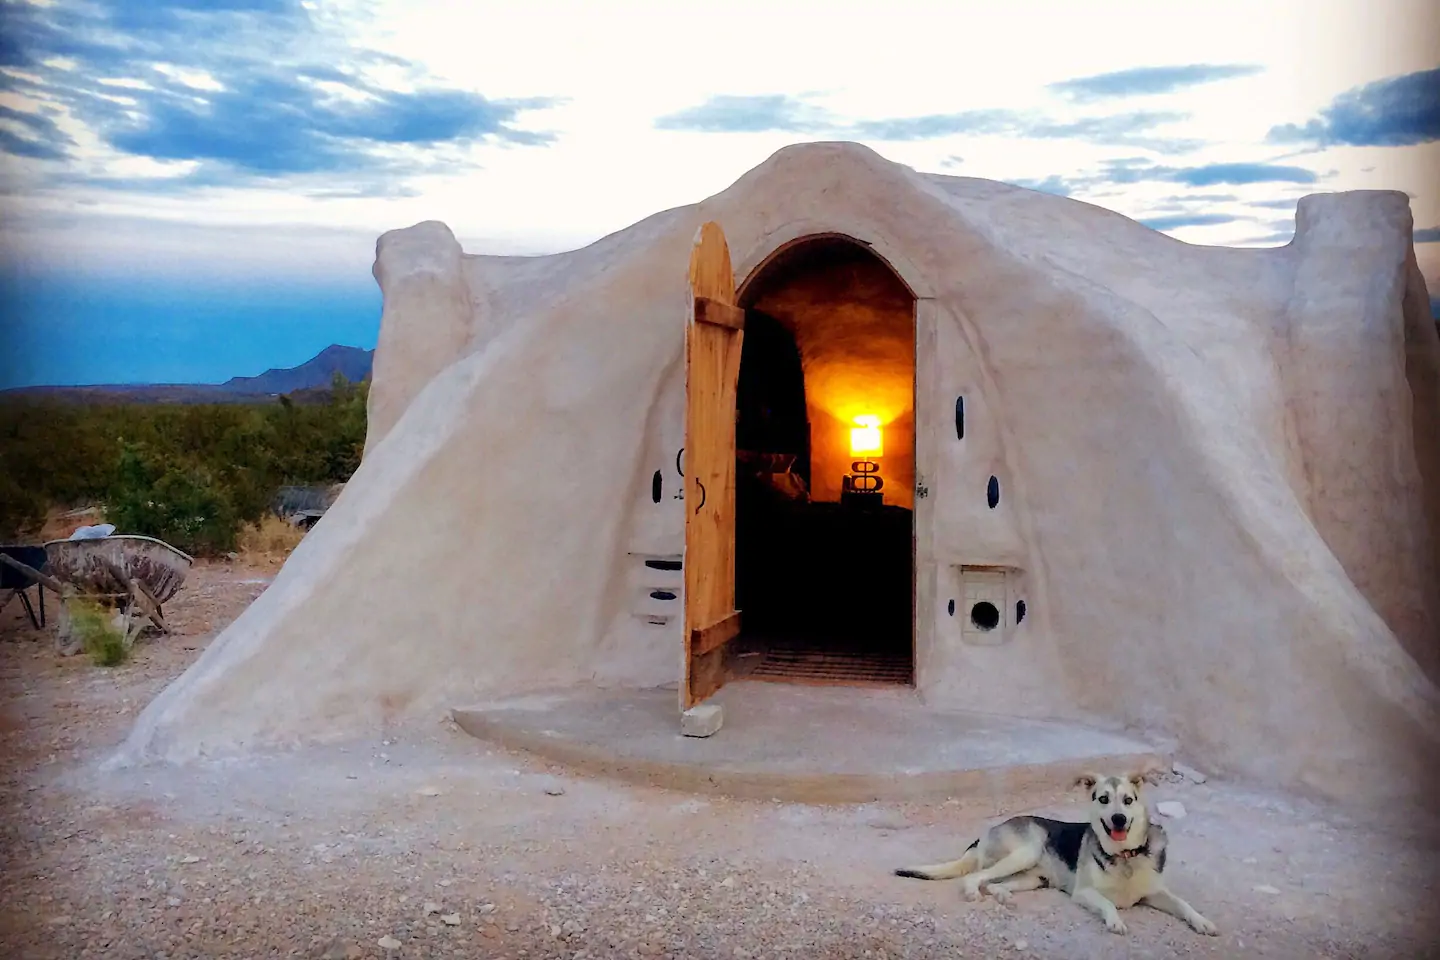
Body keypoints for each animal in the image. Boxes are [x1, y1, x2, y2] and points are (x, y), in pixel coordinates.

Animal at [898, 771, 1215, 938]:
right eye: (1103, 799)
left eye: (1128, 800)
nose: (1118, 819)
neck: (1125, 856)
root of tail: (988, 831)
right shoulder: (1084, 893)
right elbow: (1107, 903)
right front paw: (1115, 921)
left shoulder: (1156, 893)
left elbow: (1183, 904)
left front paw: (1203, 922)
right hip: (1027, 850)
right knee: (977, 877)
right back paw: (974, 892)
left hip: (1033, 877)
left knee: (995, 883)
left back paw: (1003, 896)